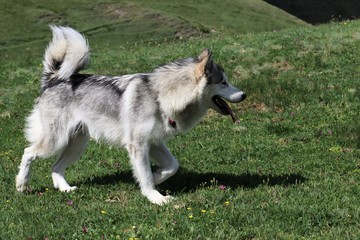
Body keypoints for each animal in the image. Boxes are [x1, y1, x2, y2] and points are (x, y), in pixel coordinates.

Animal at [15, 26, 246, 204]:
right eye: (223, 82)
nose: (244, 95)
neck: (161, 97)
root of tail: (53, 79)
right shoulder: (138, 145)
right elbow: (145, 174)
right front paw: (156, 197)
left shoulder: (154, 142)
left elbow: (172, 166)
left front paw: (157, 177)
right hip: (56, 140)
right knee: (28, 152)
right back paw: (21, 184)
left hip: (77, 144)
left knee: (55, 167)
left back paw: (65, 188)